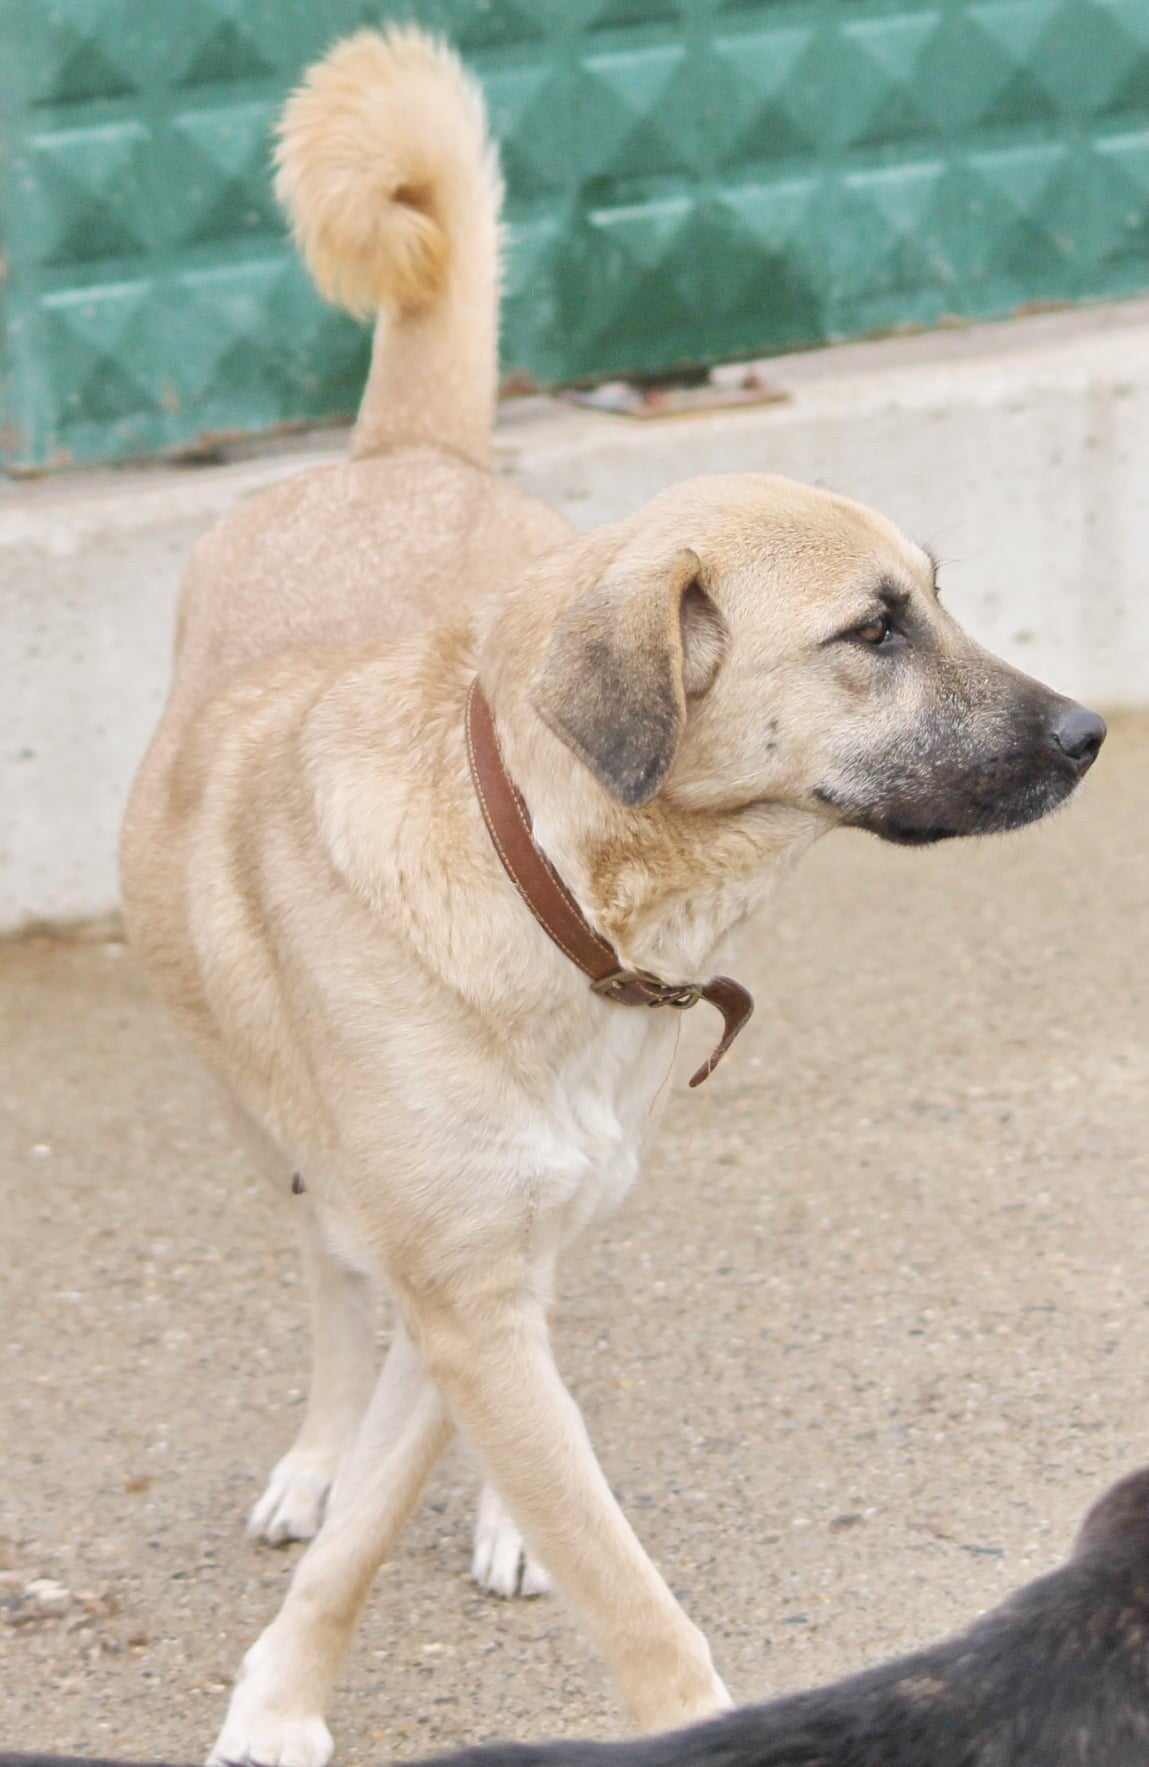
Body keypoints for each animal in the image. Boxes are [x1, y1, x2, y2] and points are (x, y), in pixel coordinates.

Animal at [118, 24, 1105, 1767]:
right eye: (873, 629)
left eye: (936, 598)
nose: (1087, 734)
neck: (553, 888)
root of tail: (407, 454)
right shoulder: (452, 1274)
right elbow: (599, 1576)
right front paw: (291, 1689)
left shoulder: (488, 1275)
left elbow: (420, 1508)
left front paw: (319, 1655)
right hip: (265, 1120)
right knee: (331, 1281)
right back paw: (324, 1443)